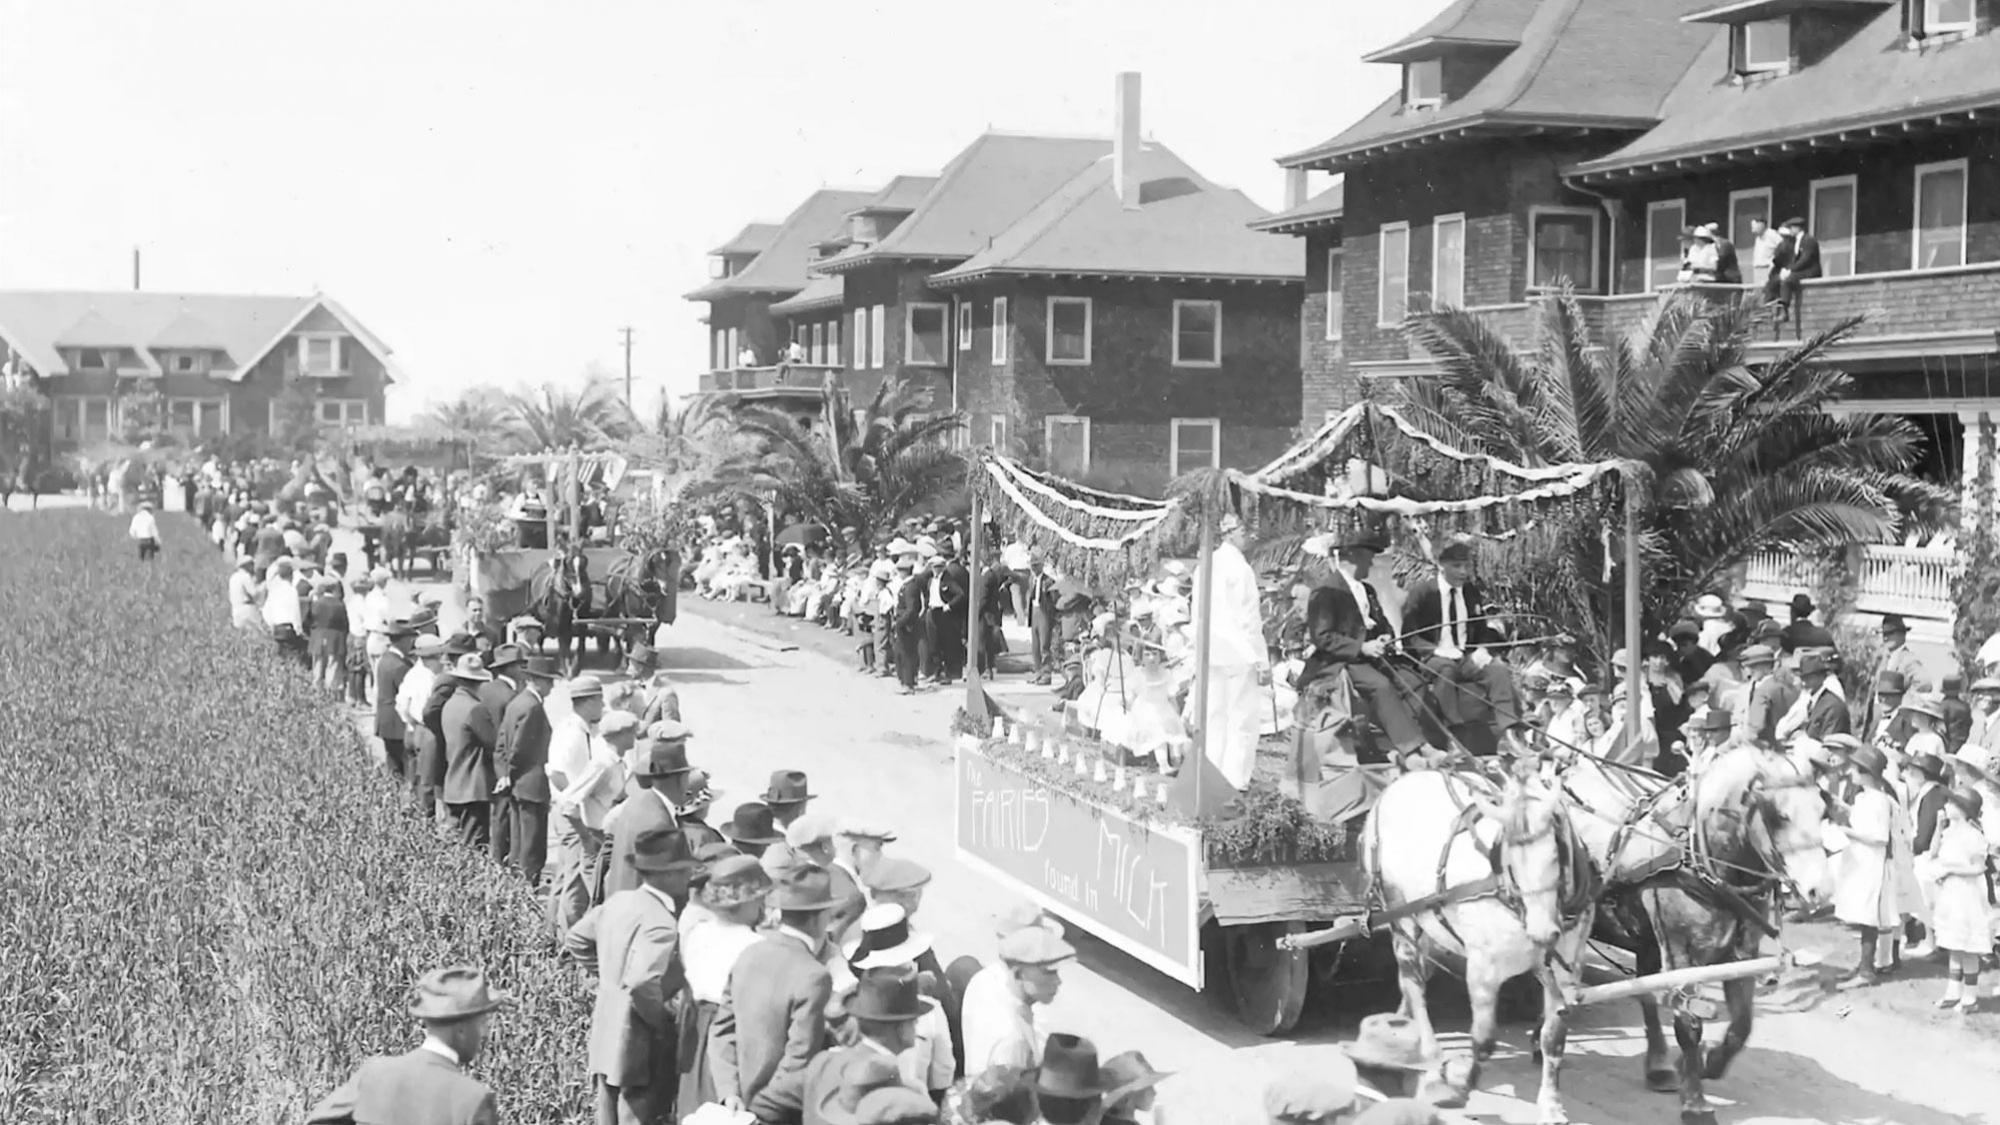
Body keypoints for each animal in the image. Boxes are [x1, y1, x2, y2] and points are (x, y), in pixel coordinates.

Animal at [1368, 764, 1600, 1112]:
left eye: (1556, 853)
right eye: (1511, 861)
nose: (1543, 932)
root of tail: (1398, 783)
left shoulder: (1566, 968)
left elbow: (1553, 1038)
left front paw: (1550, 1104)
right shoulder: (1482, 968)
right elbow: (1484, 1040)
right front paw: (1461, 1086)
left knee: (1418, 976)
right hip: (1400, 914)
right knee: (1413, 984)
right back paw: (1429, 1055)